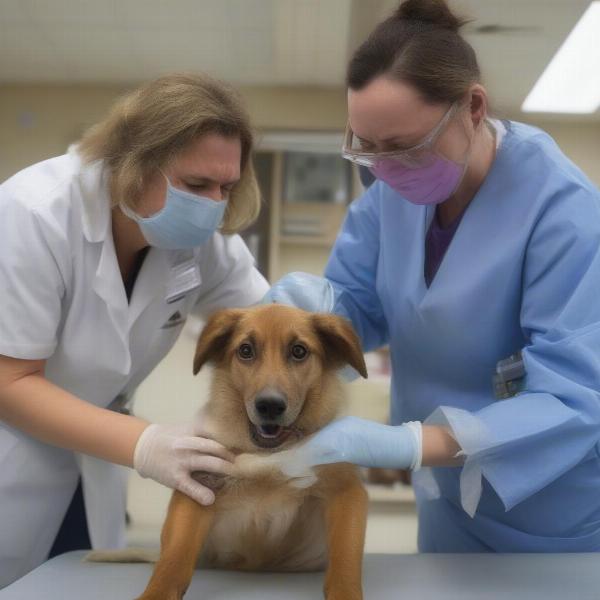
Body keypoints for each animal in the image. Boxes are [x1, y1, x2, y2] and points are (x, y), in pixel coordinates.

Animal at [93, 308, 368, 596]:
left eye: (299, 351)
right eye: (246, 350)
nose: (270, 405)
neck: (267, 456)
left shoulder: (346, 491)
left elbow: (345, 562)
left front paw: (346, 592)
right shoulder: (197, 489)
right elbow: (172, 562)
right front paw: (156, 593)